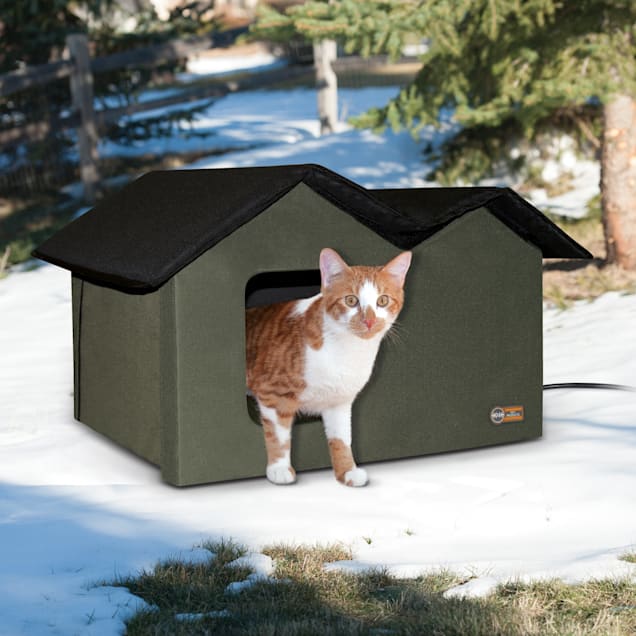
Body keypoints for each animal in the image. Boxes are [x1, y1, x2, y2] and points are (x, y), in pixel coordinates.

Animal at [246, 248, 410, 486]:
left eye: (383, 300)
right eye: (351, 300)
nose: (369, 322)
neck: (347, 349)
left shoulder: (339, 401)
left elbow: (342, 438)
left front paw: (347, 470)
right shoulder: (273, 394)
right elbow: (279, 434)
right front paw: (279, 468)